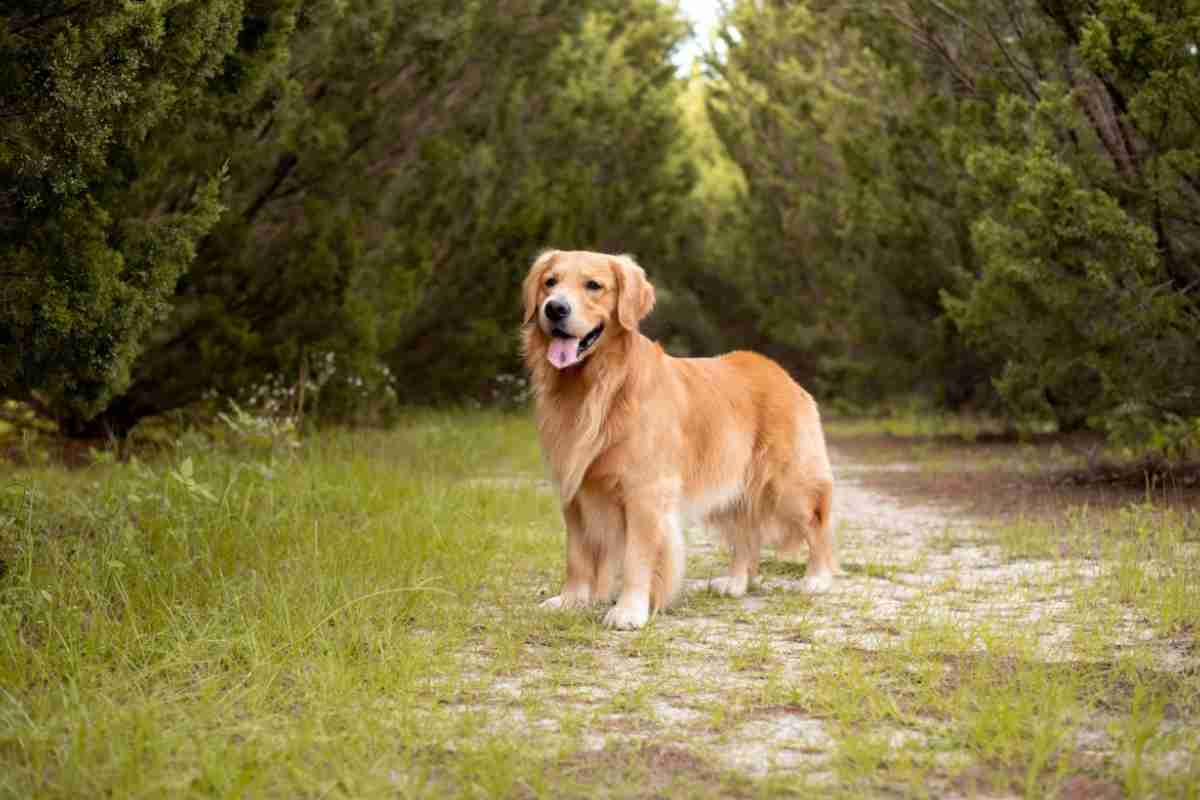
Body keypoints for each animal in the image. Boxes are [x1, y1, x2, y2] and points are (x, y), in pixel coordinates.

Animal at [525, 247, 835, 628]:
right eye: (550, 282)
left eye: (594, 285)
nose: (554, 308)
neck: (598, 385)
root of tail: (778, 371)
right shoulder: (575, 490)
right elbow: (577, 555)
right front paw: (570, 600)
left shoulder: (644, 491)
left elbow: (636, 557)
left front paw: (629, 610)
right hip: (732, 486)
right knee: (745, 533)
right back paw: (735, 582)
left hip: (787, 484)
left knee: (816, 523)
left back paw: (817, 578)